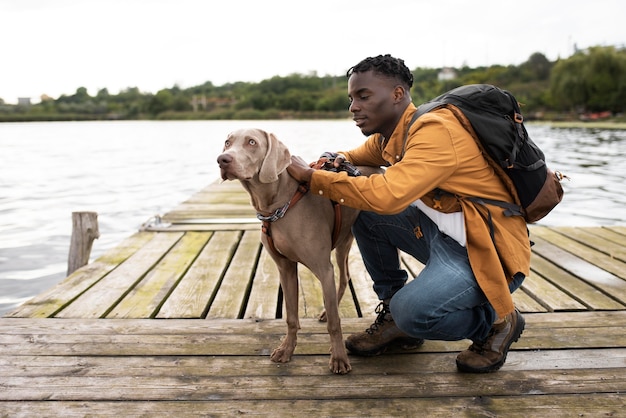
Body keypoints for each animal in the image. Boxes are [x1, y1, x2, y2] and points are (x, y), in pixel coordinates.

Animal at [214, 128, 376, 376]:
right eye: (227, 142)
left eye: (251, 142)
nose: (223, 159)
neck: (277, 206)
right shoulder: (286, 268)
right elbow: (291, 317)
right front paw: (286, 350)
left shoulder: (323, 269)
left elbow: (335, 324)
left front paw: (339, 358)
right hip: (343, 241)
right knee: (345, 276)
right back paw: (326, 311)